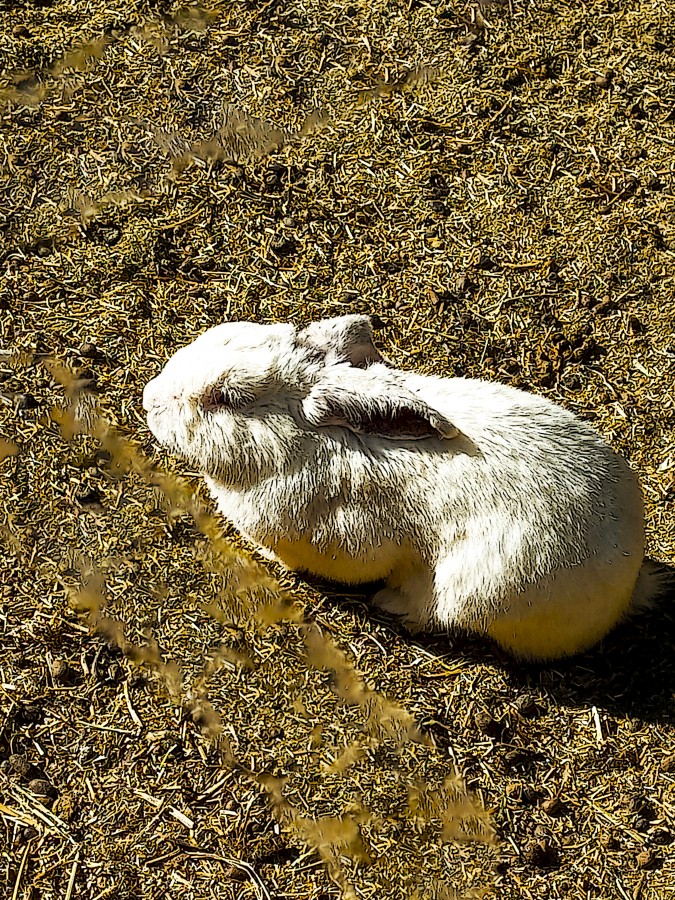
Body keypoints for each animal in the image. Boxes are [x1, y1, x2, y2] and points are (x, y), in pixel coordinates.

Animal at [144, 316, 660, 660]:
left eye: (228, 398)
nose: (150, 400)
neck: (301, 444)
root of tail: (629, 585)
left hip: (476, 592)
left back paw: (392, 604)